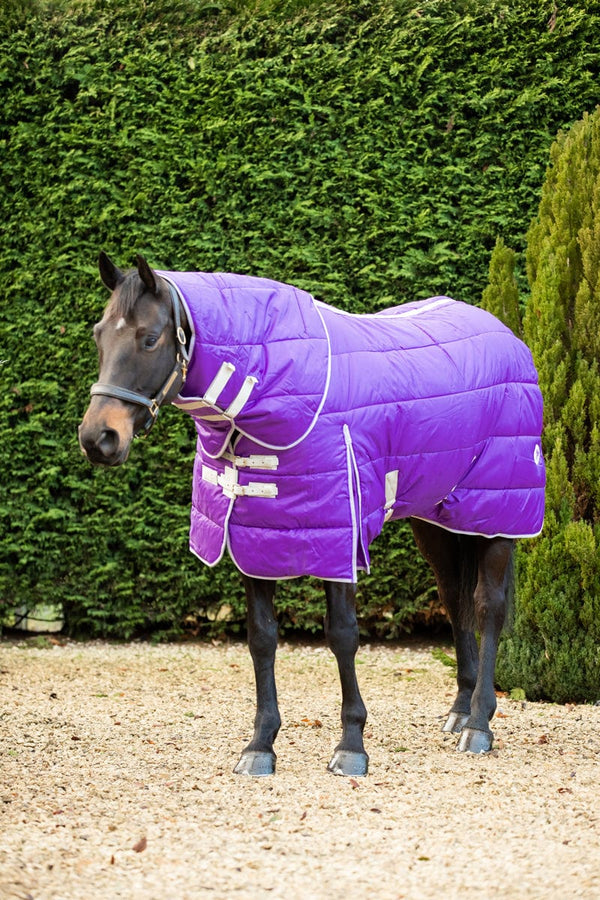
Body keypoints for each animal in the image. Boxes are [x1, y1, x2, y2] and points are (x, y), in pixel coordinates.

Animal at [78, 253, 545, 777]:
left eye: (150, 337)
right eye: (99, 334)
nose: (98, 438)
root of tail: (506, 337)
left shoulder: (339, 537)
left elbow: (342, 636)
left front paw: (351, 746)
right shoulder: (252, 537)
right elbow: (262, 638)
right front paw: (260, 745)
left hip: (499, 517)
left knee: (488, 606)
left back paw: (479, 724)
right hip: (438, 520)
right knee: (454, 599)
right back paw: (460, 710)